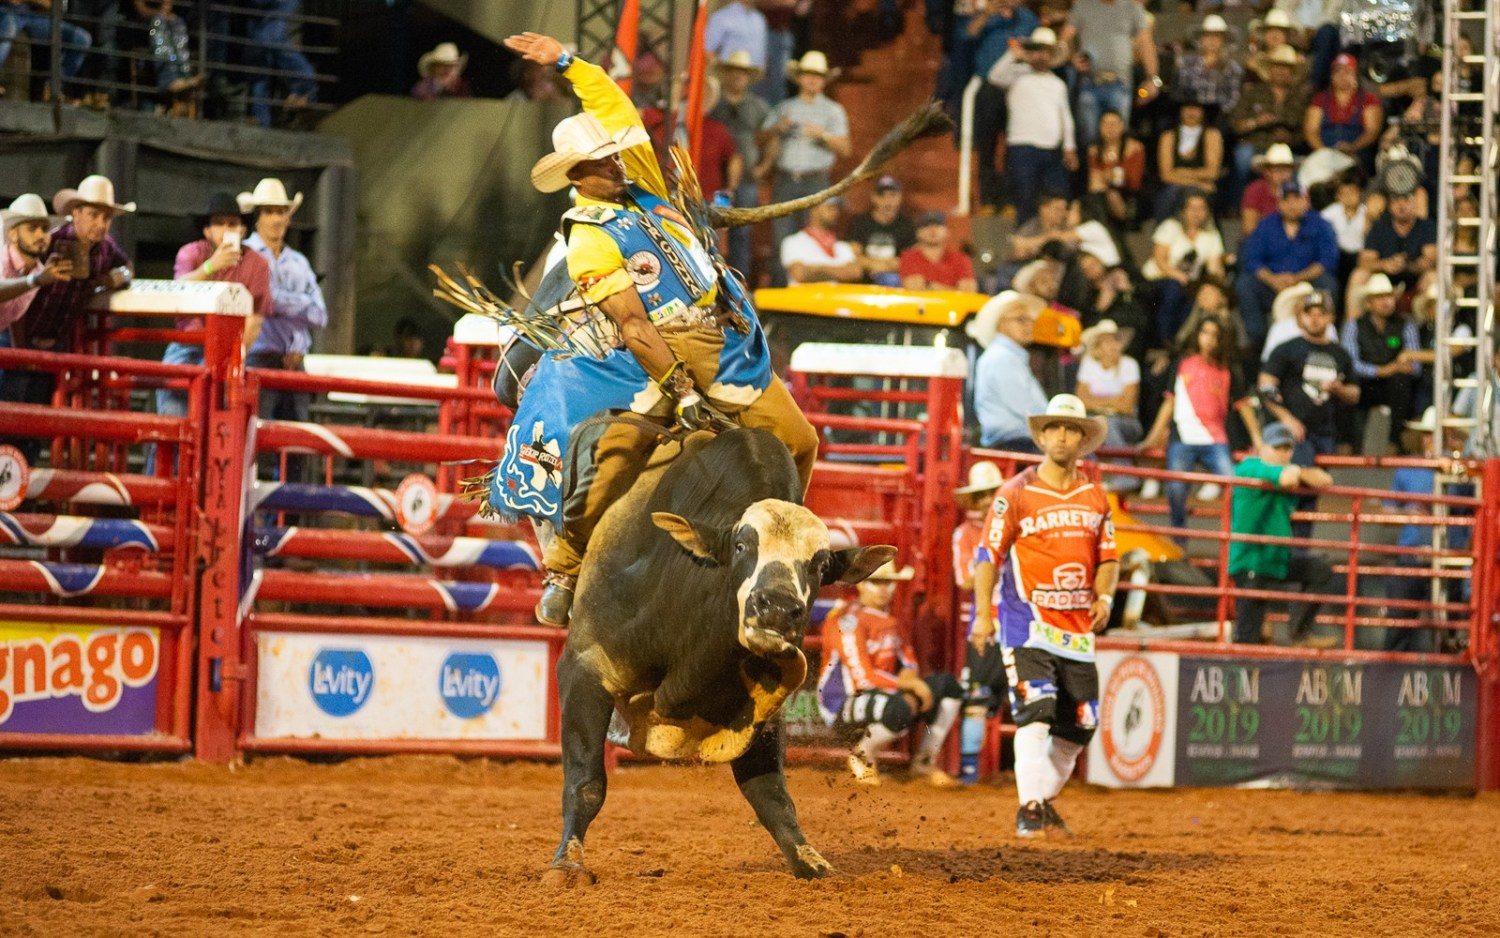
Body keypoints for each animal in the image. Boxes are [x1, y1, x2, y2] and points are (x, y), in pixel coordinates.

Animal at [546, 429, 888, 882]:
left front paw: (809, 861)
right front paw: (567, 863)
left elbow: (771, 794)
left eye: (819, 564)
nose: (777, 608)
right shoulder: (585, 667)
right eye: (742, 545)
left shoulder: (762, 710)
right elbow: (586, 782)